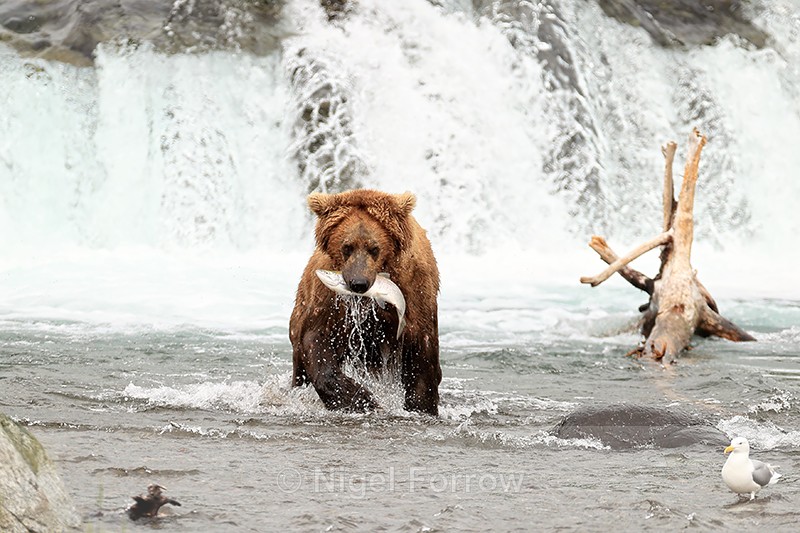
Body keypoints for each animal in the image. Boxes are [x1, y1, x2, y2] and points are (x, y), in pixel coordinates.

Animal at [289, 189, 441, 415]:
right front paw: (363, 400)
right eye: (347, 247)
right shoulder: (329, 303)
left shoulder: (415, 294)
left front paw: (421, 406)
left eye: (374, 248)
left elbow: (422, 355)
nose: (358, 283)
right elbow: (317, 341)